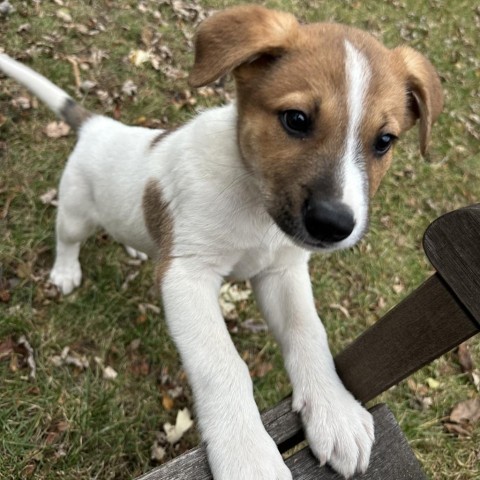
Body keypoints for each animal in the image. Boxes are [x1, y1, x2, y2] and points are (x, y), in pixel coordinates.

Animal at [0, 4, 442, 480]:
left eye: (385, 141)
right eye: (296, 119)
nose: (334, 224)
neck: (255, 209)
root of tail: (99, 126)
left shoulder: (282, 272)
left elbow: (308, 332)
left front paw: (334, 410)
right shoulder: (187, 274)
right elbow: (223, 364)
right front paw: (247, 452)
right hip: (76, 211)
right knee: (66, 239)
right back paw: (65, 272)